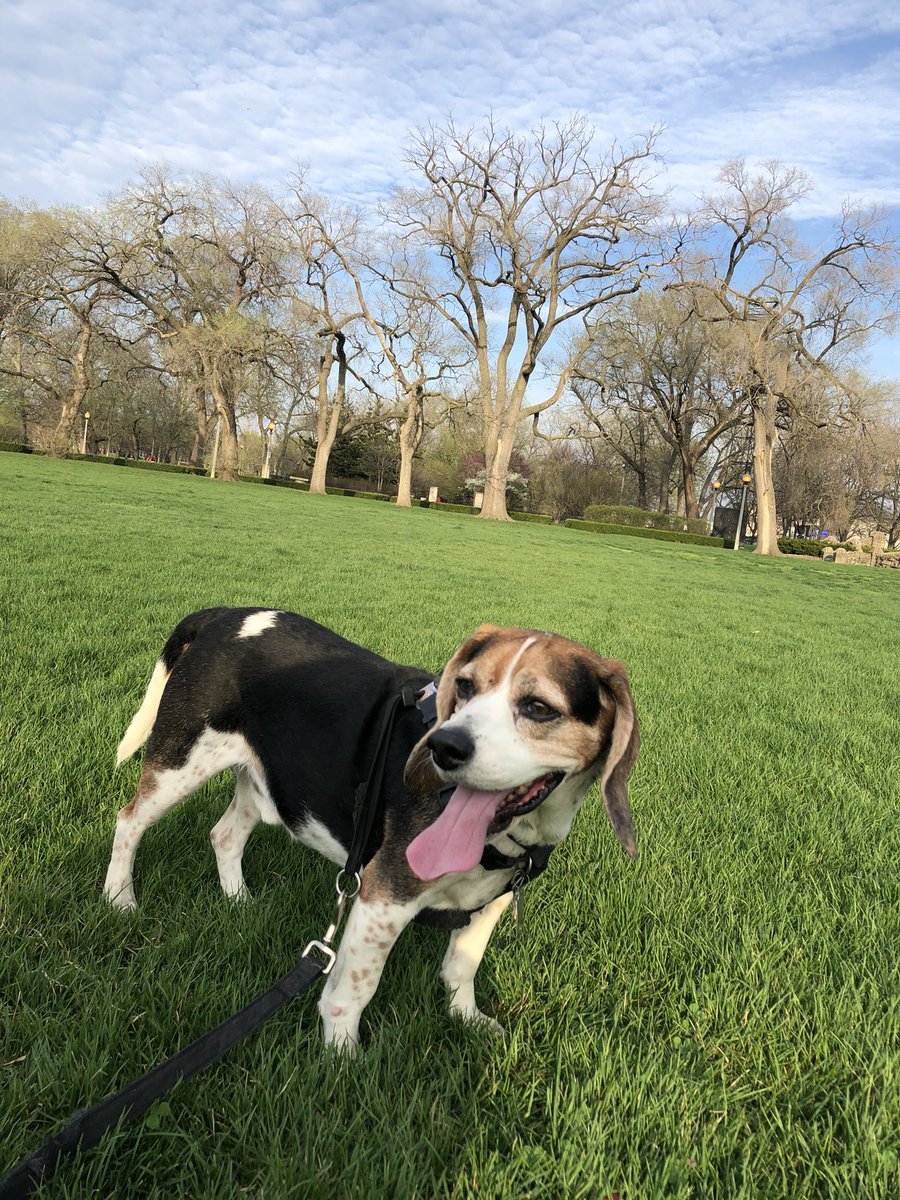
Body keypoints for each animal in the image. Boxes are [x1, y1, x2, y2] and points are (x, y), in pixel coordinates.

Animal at [107, 609, 643, 1051]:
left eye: (538, 707)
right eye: (466, 687)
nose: (443, 747)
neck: (511, 834)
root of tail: (223, 616)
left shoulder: (493, 897)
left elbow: (463, 965)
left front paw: (466, 1019)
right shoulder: (383, 898)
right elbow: (355, 987)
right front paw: (343, 1057)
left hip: (263, 783)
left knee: (224, 834)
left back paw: (239, 901)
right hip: (179, 763)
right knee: (129, 820)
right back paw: (119, 900)